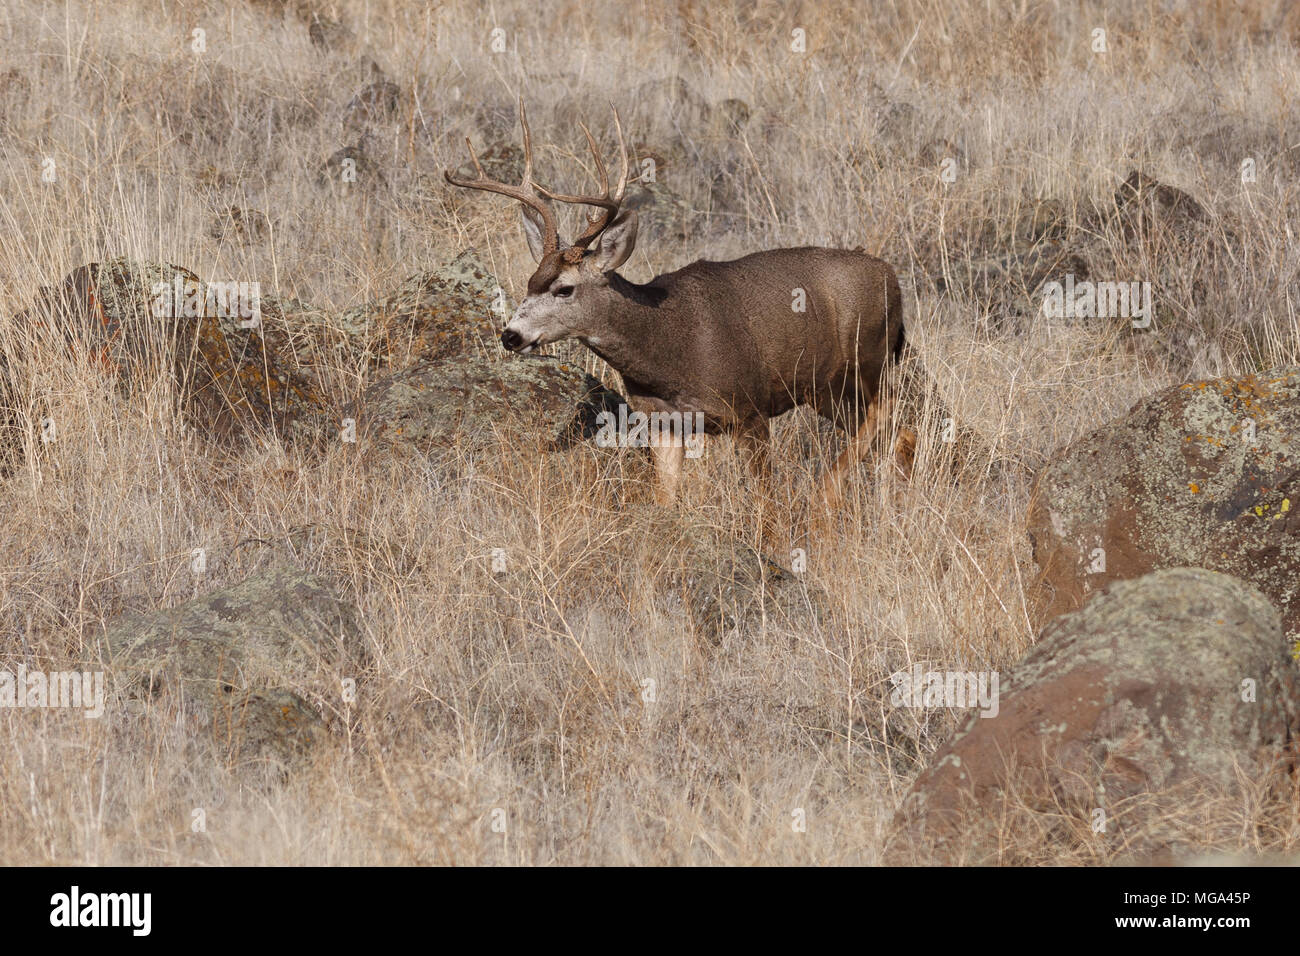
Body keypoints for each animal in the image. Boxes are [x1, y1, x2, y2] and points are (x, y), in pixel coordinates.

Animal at [447, 104, 915, 520]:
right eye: (529, 283)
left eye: (565, 289)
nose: (511, 335)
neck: (667, 349)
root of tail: (891, 277)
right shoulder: (663, 423)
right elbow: (665, 499)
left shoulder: (749, 410)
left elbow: (766, 505)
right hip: (829, 392)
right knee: (898, 435)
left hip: (860, 364)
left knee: (889, 412)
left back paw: (827, 497)